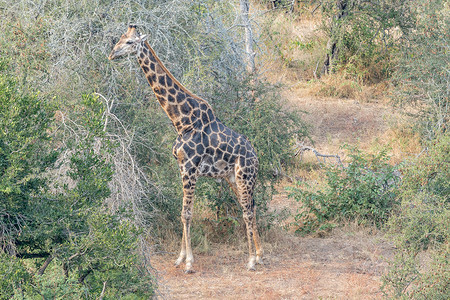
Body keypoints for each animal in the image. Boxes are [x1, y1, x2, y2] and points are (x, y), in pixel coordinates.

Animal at [109, 25, 262, 272]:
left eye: (131, 42)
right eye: (121, 38)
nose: (112, 54)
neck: (181, 121)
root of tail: (256, 157)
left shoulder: (190, 168)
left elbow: (187, 214)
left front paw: (189, 262)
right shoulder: (182, 167)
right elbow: (182, 212)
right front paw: (180, 258)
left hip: (245, 176)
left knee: (247, 211)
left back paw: (251, 261)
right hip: (232, 177)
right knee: (250, 207)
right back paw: (259, 254)